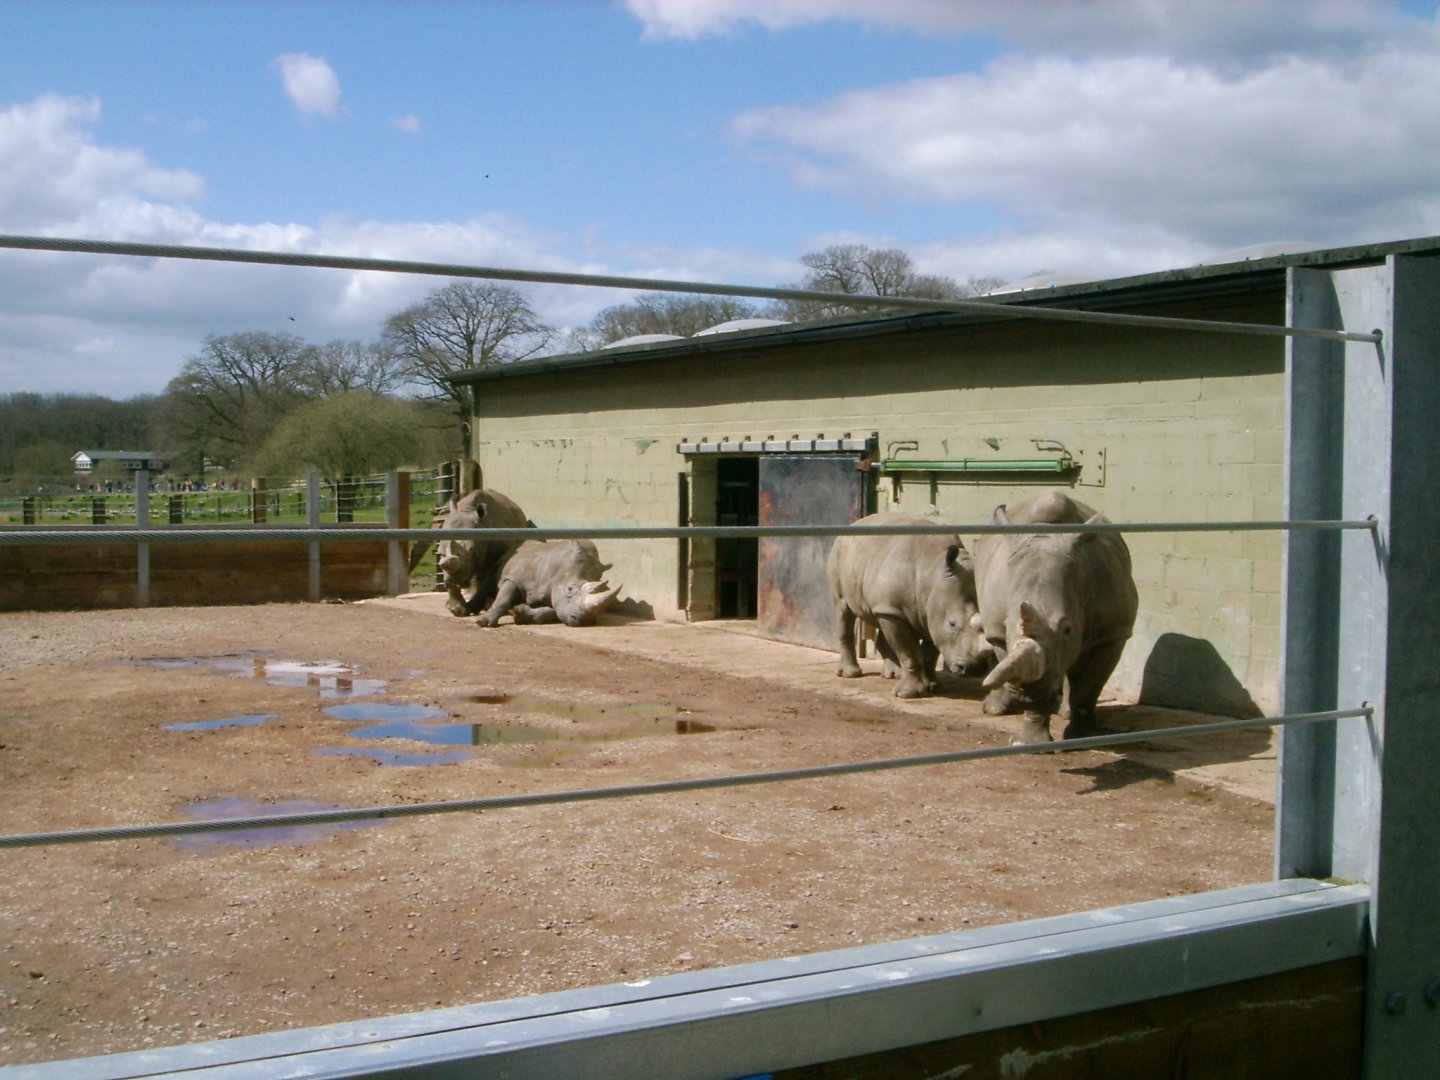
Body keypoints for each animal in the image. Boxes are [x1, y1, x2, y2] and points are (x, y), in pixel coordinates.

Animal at [475, 539, 622, 627]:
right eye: (569, 589)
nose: (585, 621)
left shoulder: (557, 598)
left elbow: (551, 612)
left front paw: (519, 613)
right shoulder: (515, 578)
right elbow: (503, 599)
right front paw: (484, 622)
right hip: (506, 558)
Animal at [827, 512, 990, 699]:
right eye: (952, 623)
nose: (974, 669)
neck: (933, 572)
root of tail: (856, 523)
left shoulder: (928, 610)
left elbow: (930, 652)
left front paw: (932, 686)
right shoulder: (905, 610)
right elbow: (909, 651)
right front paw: (907, 694)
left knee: (880, 619)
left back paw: (894, 675)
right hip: (839, 555)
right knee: (844, 610)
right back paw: (851, 674)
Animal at [973, 490, 1138, 744]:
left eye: (1068, 629)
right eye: (1007, 626)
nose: (1026, 696)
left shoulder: (1112, 633)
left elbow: (1090, 686)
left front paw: (1085, 737)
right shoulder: (999, 632)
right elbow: (1011, 659)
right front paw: (1028, 742)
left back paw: (1065, 712)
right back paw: (994, 709)